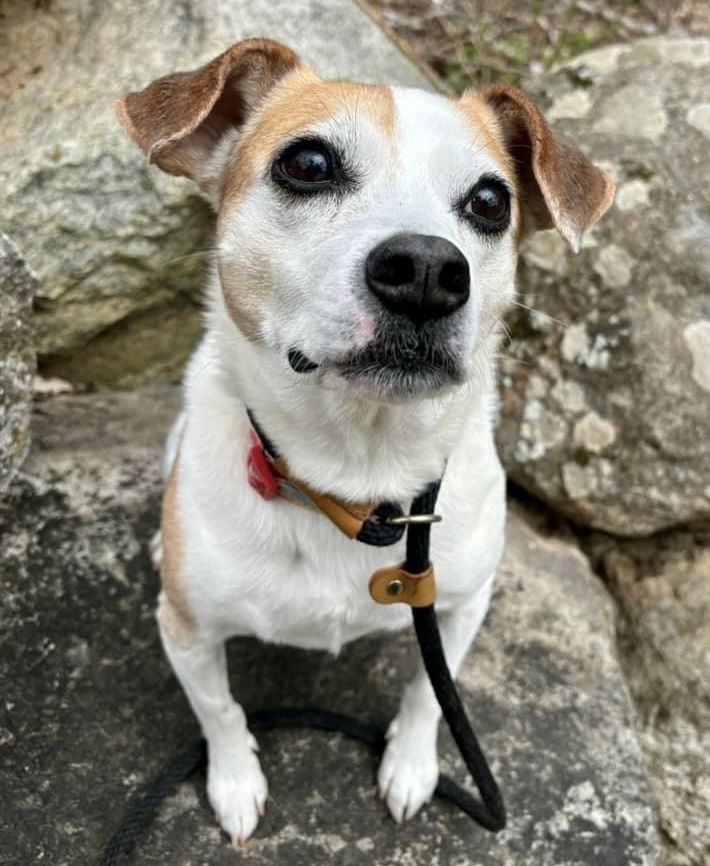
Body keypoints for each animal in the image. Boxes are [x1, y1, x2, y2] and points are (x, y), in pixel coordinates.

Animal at [118, 38, 616, 844]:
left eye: (490, 202)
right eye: (308, 163)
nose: (428, 271)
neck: (357, 475)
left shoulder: (459, 606)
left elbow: (429, 694)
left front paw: (412, 764)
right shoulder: (186, 632)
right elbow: (220, 710)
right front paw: (234, 780)